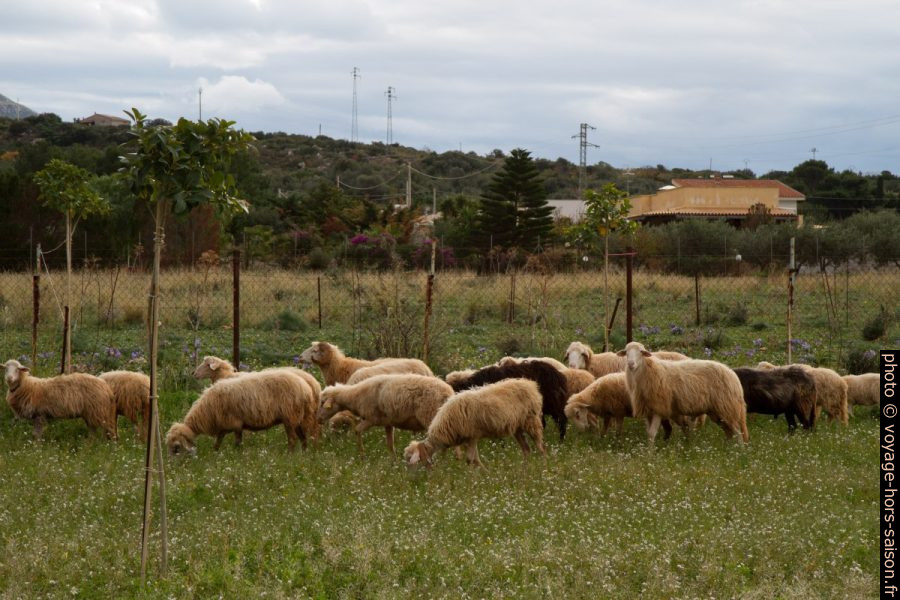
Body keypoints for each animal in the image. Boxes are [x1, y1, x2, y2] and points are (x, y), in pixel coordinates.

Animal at [166, 370, 319, 455]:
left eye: (177, 447)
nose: (174, 467)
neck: (207, 410)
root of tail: (306, 387)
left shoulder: (235, 424)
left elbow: (238, 443)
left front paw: (237, 457)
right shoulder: (224, 426)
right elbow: (217, 442)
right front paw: (215, 453)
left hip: (290, 416)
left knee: (292, 439)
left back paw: (289, 455)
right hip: (298, 417)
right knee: (303, 438)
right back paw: (304, 454)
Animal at [317, 374, 454, 454]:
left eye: (322, 403)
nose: (318, 419)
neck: (354, 396)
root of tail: (448, 392)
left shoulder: (371, 419)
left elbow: (357, 430)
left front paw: (362, 454)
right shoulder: (388, 423)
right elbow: (390, 444)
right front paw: (392, 461)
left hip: (431, 415)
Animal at [403, 378, 545, 468]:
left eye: (416, 460)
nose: (416, 481)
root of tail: (530, 384)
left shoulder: (472, 436)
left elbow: (471, 459)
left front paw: (477, 478)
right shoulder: (468, 439)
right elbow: (472, 460)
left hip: (531, 421)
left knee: (540, 446)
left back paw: (543, 467)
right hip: (517, 427)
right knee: (526, 449)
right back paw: (525, 469)